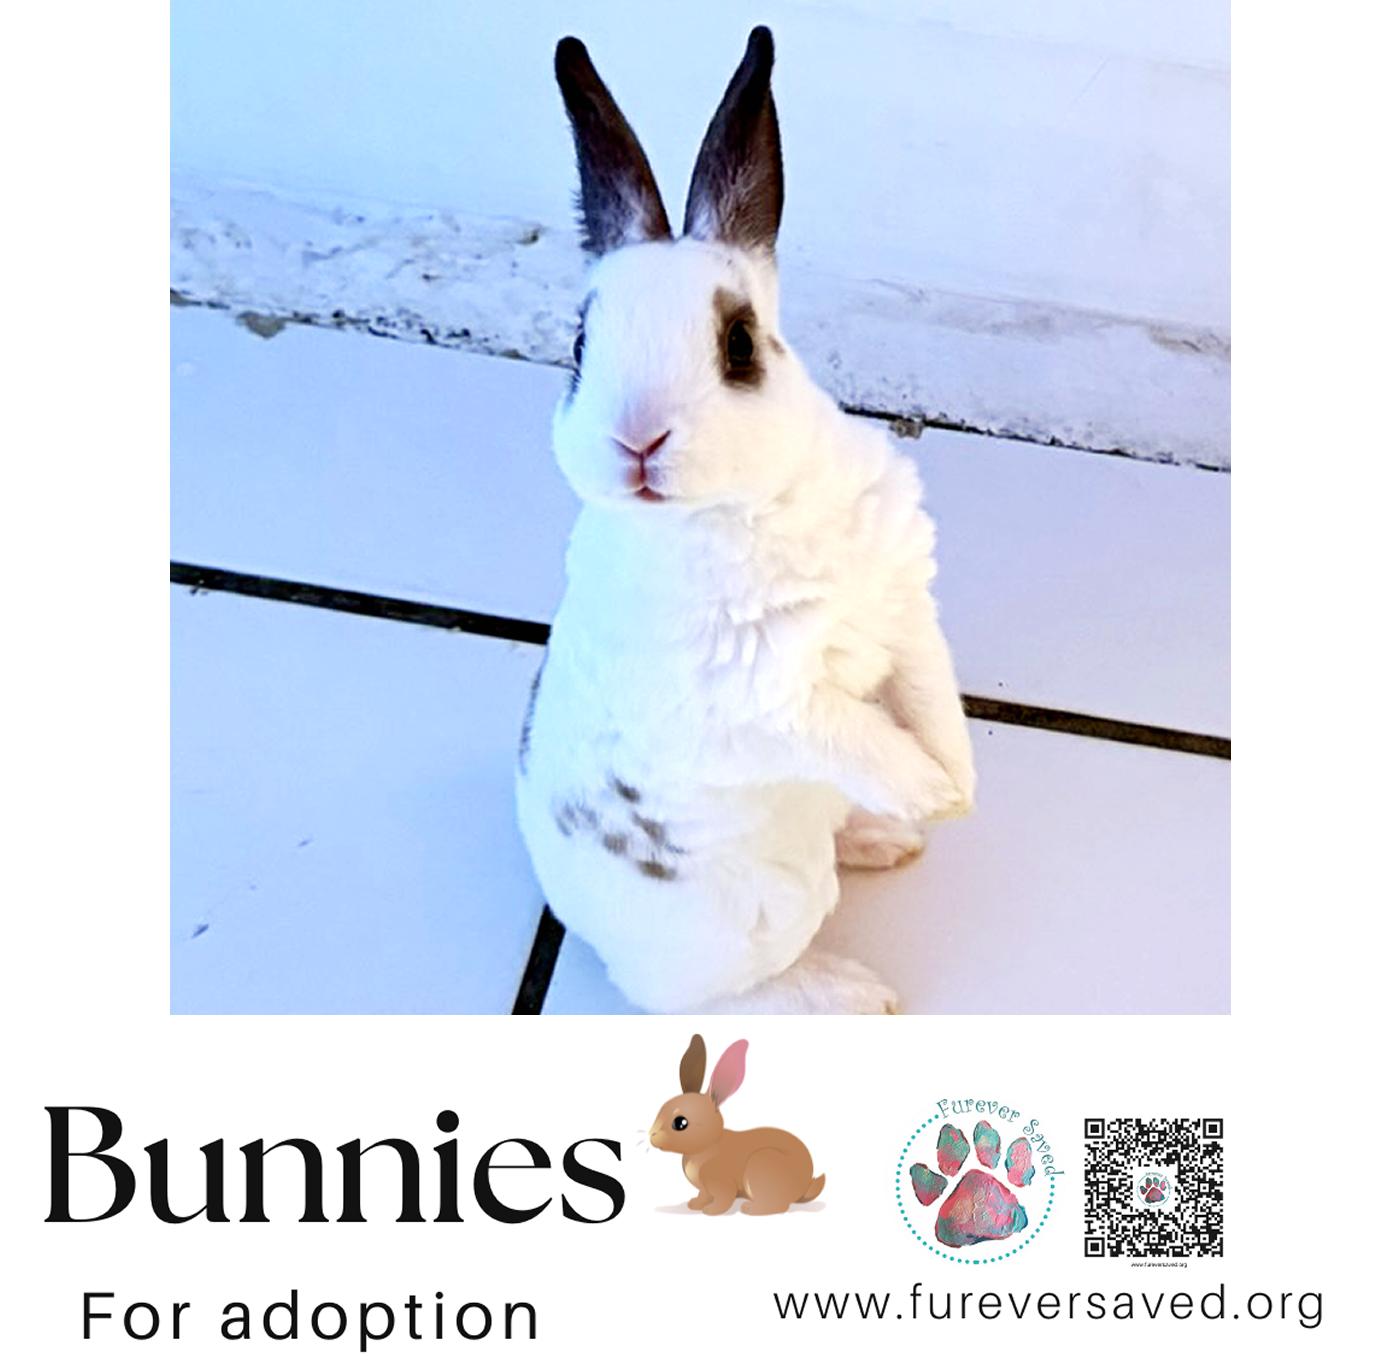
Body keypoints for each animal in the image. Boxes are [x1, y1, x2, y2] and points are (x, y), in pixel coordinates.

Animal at [515, 27, 975, 1013]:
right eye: (580, 347)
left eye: (739, 344)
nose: (636, 439)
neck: (750, 507)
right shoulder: (772, 703)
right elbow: (859, 736)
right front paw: (929, 795)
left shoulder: (906, 609)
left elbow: (931, 697)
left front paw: (955, 787)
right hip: (764, 913)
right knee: (715, 1000)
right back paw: (851, 987)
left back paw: (885, 838)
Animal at [650, 1035, 824, 1216]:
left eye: (680, 1123)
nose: (651, 1135)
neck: (709, 1145)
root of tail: (805, 1185)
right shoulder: (704, 1189)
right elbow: (703, 1195)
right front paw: (695, 1205)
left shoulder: (721, 1182)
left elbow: (723, 1198)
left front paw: (711, 1211)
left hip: (761, 1166)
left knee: (779, 1205)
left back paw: (751, 1208)